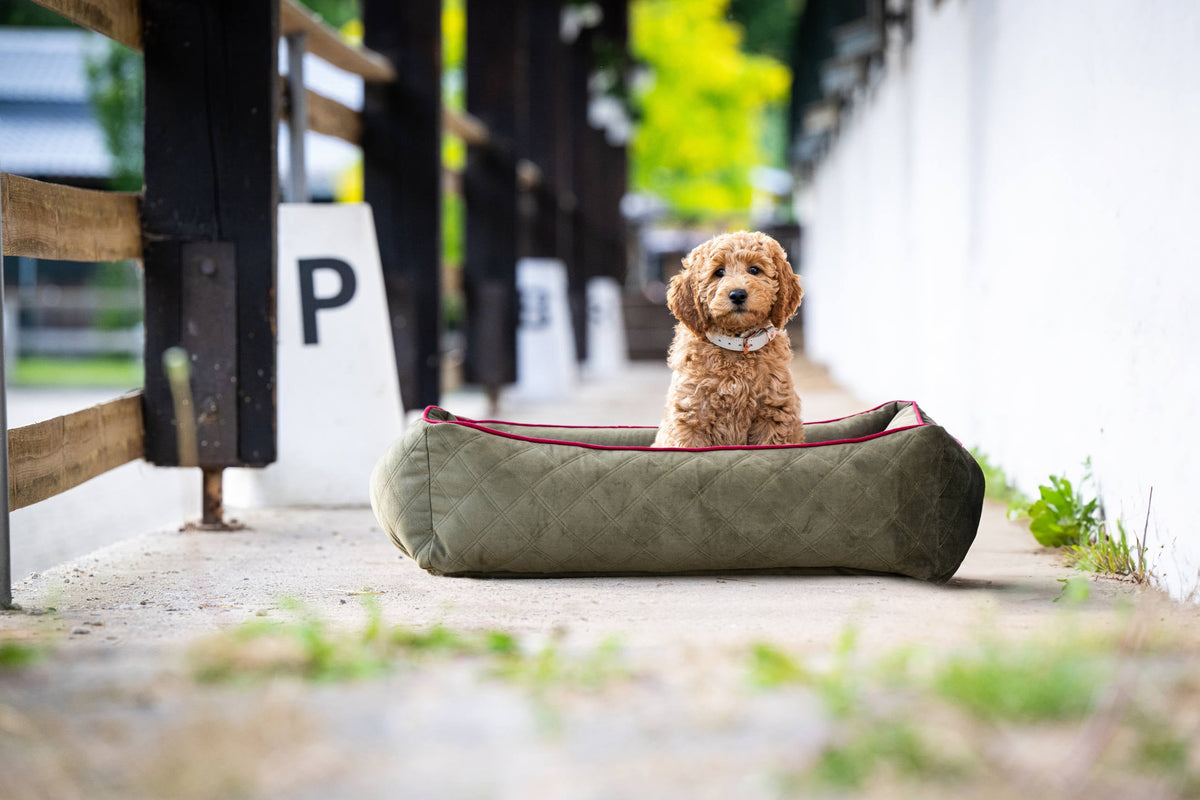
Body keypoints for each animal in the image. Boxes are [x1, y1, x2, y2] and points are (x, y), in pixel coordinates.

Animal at [652, 230, 801, 450]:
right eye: (719, 272)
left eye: (754, 270)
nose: (737, 294)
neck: (737, 345)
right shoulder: (690, 415)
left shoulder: (774, 413)